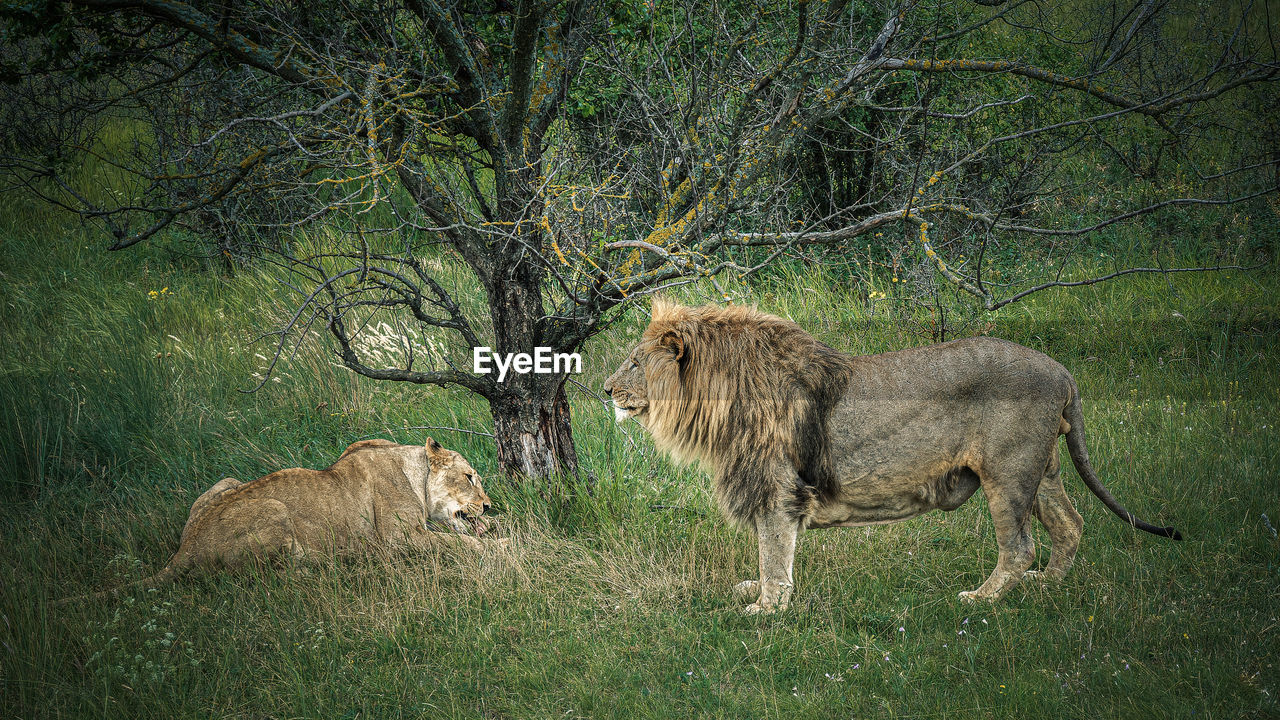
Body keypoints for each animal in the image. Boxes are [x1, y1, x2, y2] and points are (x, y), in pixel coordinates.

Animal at [61, 435, 499, 602]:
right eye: (470, 476)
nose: (489, 505)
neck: (413, 469)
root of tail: (187, 546)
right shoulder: (400, 538)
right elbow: (462, 542)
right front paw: (500, 547)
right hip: (275, 510)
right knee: (266, 579)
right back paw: (338, 565)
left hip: (226, 481)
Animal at [604, 298, 1182, 609]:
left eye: (634, 362)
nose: (605, 389)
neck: (715, 397)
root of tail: (1062, 371)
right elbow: (776, 553)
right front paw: (759, 591)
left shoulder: (777, 489)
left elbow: (774, 551)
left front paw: (766, 608)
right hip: (1043, 470)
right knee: (1070, 525)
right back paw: (1047, 588)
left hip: (1009, 473)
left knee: (1020, 547)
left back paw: (982, 600)